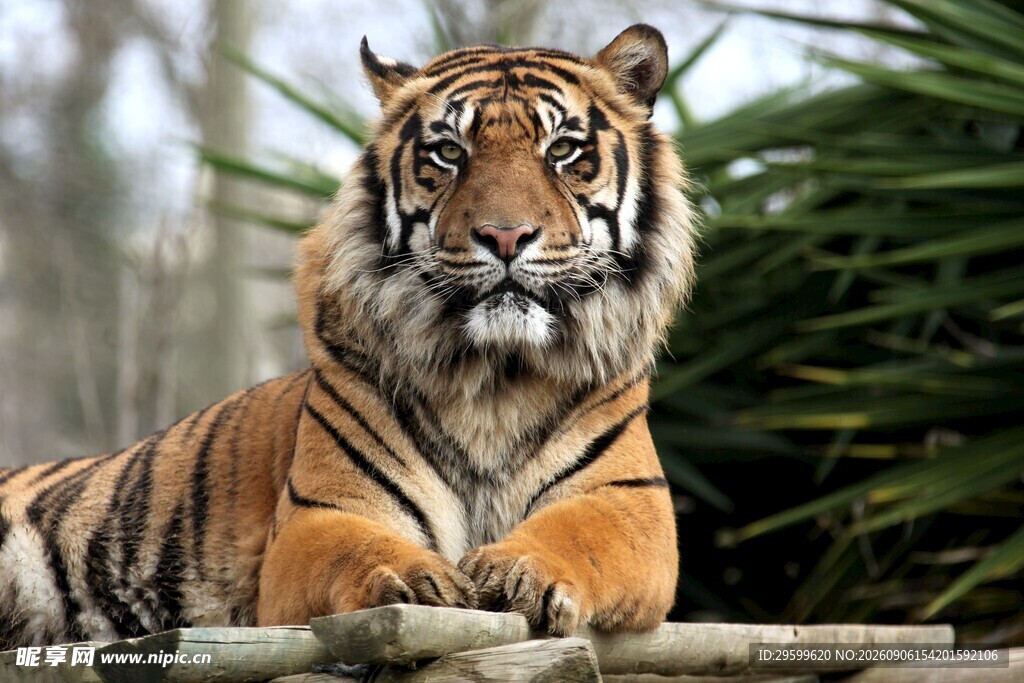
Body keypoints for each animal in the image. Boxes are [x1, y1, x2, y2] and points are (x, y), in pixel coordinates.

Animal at [0, 23, 696, 649]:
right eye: (449, 152)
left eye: (562, 150)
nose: (504, 235)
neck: (495, 376)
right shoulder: (321, 516)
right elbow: (357, 550)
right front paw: (417, 582)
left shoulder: (629, 503)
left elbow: (578, 533)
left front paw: (517, 570)